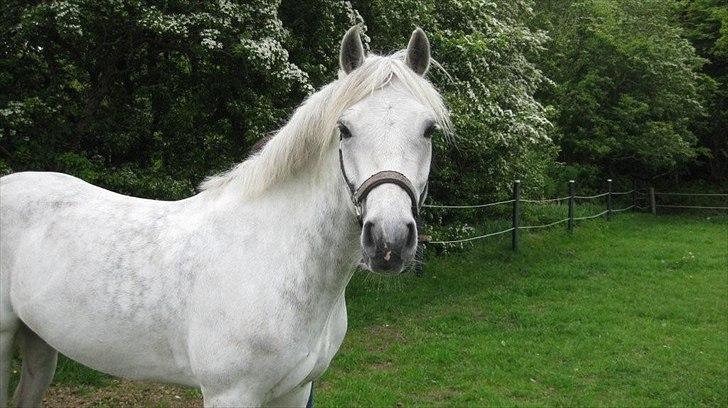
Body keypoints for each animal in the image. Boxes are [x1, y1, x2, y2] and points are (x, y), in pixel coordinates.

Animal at [0, 26, 451, 407]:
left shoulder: (295, 391)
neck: (274, 258)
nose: (389, 241)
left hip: (40, 344)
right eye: (344, 129)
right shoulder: (231, 393)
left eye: (428, 130)